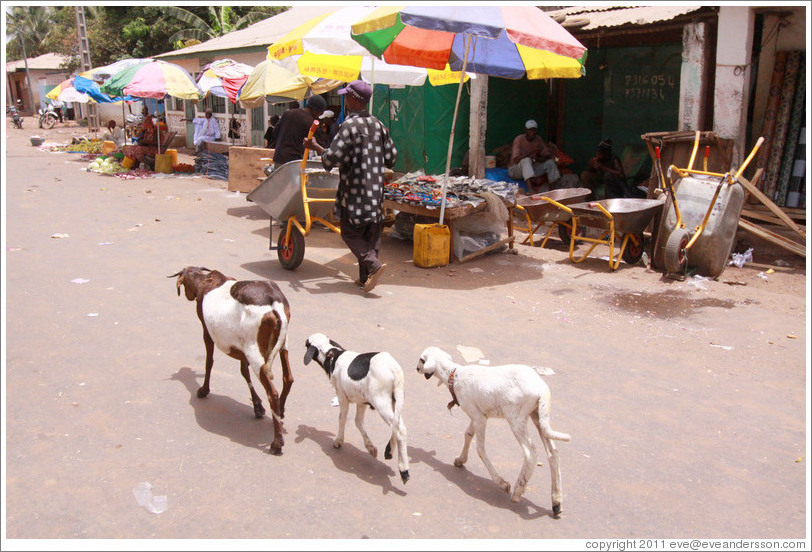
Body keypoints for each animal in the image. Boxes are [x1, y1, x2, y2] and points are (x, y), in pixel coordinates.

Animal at [170, 266, 294, 454]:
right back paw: (281, 411)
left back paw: (277, 443)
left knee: (272, 392)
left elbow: (209, 362)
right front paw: (257, 406)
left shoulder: (207, 331)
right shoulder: (241, 346)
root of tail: (274, 303)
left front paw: (203, 390)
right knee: (288, 378)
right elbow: (243, 371)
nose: (188, 296)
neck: (205, 281)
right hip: (282, 343)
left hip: (254, 351)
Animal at [302, 332, 410, 484]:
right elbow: (358, 422)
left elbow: (342, 418)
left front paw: (338, 441)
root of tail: (395, 371)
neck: (333, 356)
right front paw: (371, 448)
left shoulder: (342, 396)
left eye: (307, 344)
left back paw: (404, 470)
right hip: (395, 399)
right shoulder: (362, 402)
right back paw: (389, 451)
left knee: (398, 429)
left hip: (381, 401)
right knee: (399, 426)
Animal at [418, 348, 572, 516]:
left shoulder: (479, 417)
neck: (454, 374)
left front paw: (503, 483)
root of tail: (542, 390)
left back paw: (518, 491)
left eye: (422, 359)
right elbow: (468, 434)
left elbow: (480, 448)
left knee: (530, 452)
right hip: (537, 415)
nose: (417, 368)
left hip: (516, 417)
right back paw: (556, 501)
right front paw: (460, 460)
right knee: (553, 453)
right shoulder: (478, 414)